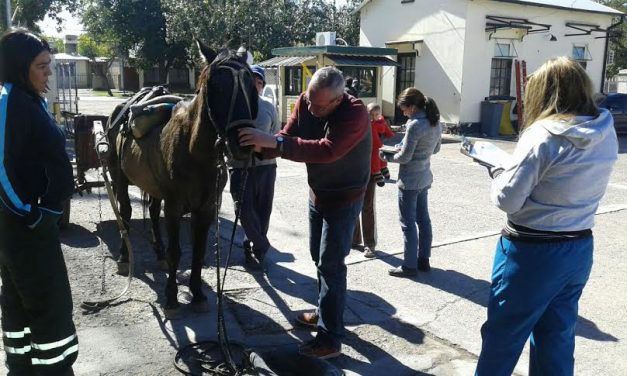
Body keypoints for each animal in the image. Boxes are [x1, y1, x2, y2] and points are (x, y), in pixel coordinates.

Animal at [106, 41, 258, 318]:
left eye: (251, 86)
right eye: (216, 86)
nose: (242, 143)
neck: (194, 152)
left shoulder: (206, 209)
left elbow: (197, 252)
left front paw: (197, 294)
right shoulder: (175, 207)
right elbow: (176, 252)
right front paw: (172, 297)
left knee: (152, 212)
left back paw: (157, 253)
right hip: (119, 178)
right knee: (125, 212)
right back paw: (124, 257)